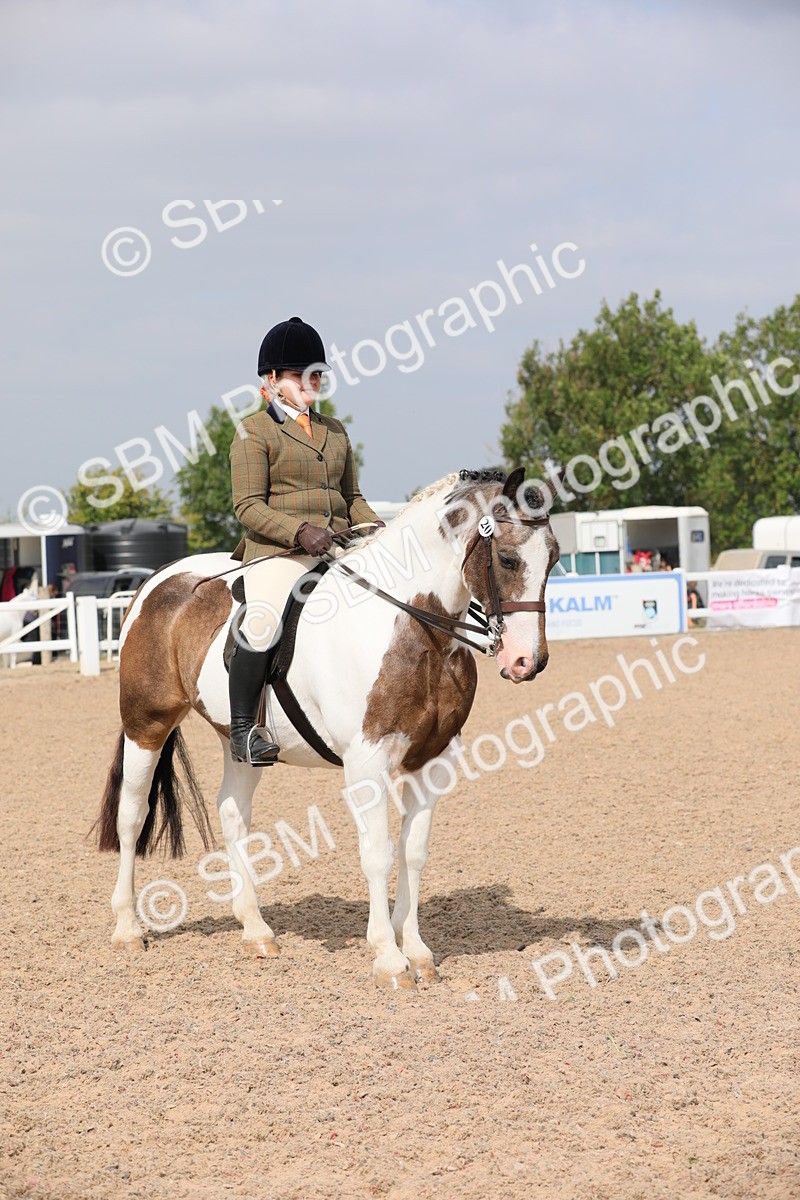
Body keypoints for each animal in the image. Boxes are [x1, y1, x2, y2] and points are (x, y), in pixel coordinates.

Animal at [96, 468, 560, 989]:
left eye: (554, 558)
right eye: (507, 558)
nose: (527, 662)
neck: (414, 627)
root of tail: (156, 581)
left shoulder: (433, 760)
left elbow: (414, 851)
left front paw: (417, 950)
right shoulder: (366, 761)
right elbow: (378, 852)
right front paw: (388, 957)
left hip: (240, 742)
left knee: (233, 812)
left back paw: (256, 930)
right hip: (146, 724)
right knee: (132, 814)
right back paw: (128, 929)